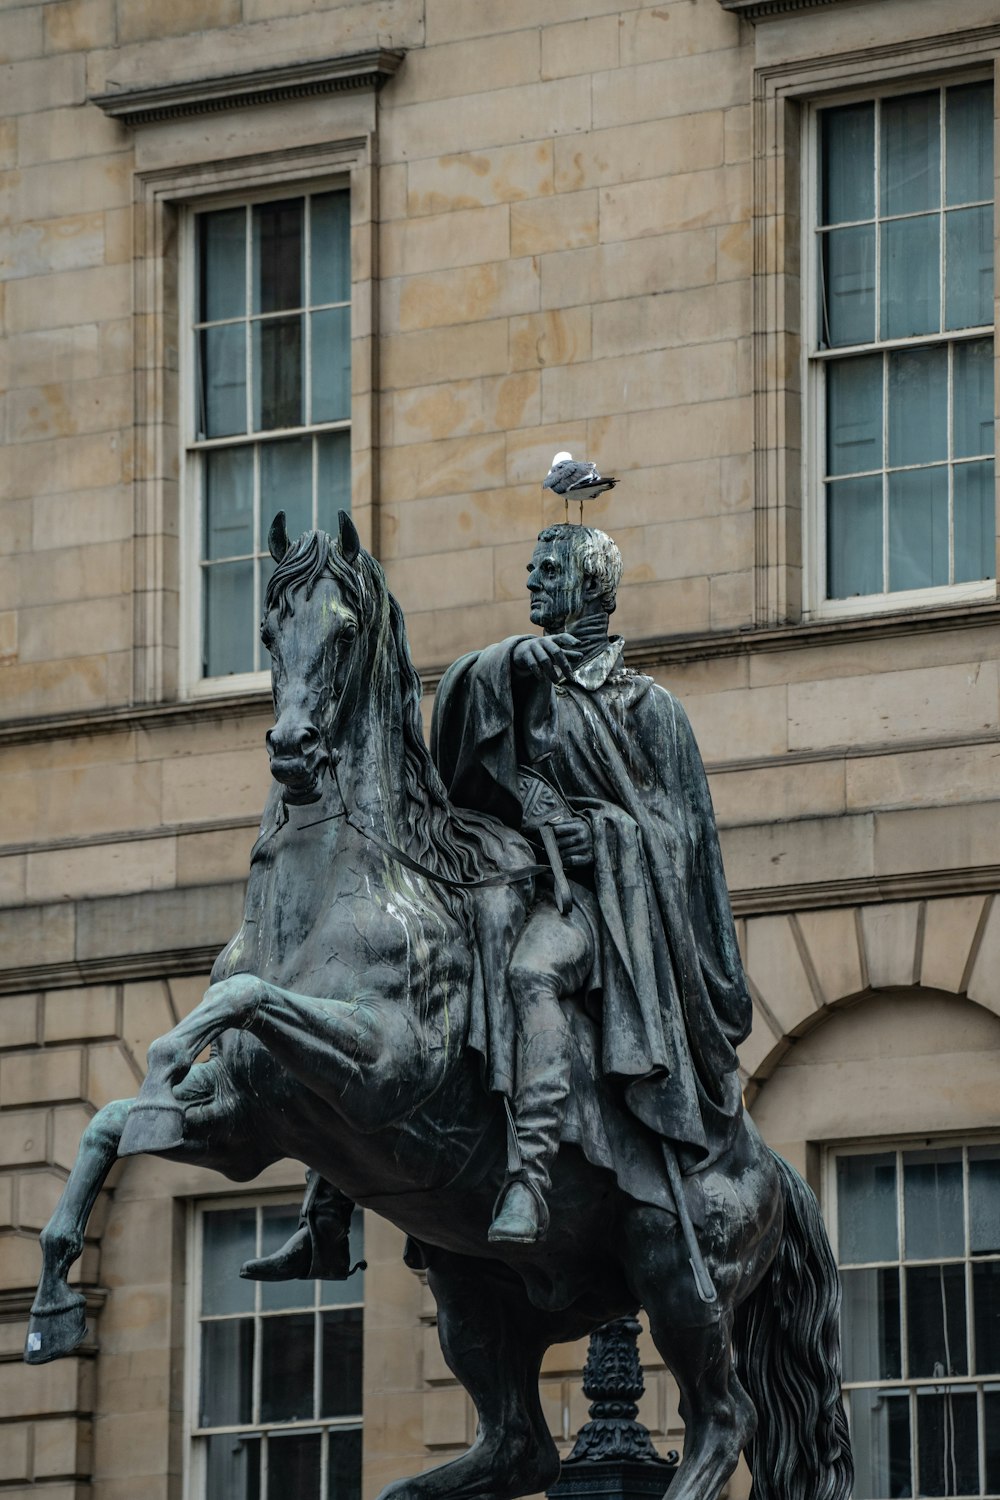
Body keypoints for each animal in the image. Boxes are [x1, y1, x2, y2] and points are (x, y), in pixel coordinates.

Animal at [23, 516, 851, 1500]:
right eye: (267, 631)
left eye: (345, 631)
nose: (293, 750)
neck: (346, 882)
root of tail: (771, 1167)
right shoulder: (246, 1123)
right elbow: (109, 1120)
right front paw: (53, 1293)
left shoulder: (384, 1066)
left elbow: (235, 996)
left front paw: (158, 1074)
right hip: (471, 1289)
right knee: (521, 1443)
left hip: (677, 1274)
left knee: (725, 1422)